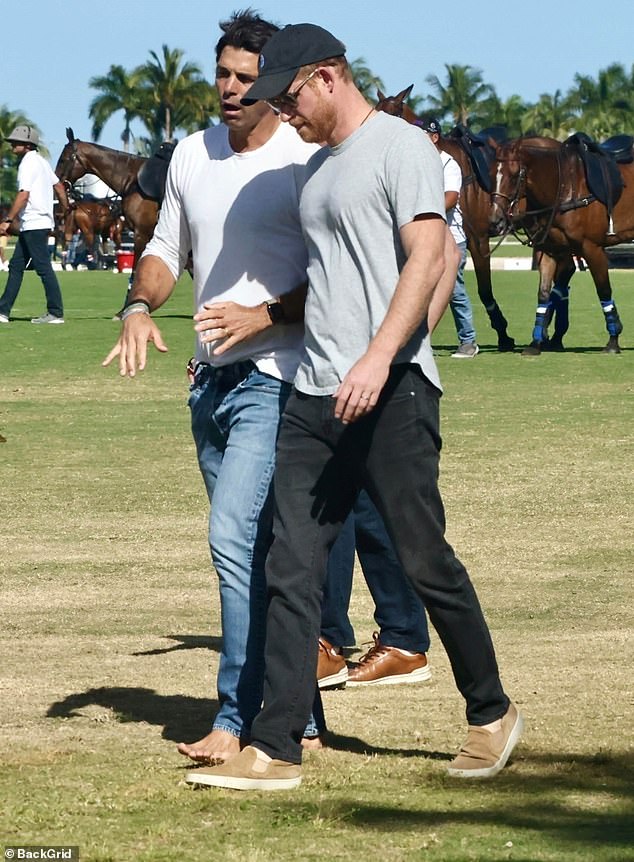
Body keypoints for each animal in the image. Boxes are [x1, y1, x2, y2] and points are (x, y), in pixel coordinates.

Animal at [486, 135, 628, 354]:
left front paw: (613, 340)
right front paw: (536, 342)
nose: (495, 222)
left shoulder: (592, 248)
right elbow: (544, 293)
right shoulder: (550, 249)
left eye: (514, 175)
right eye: (491, 174)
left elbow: (603, 290)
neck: (565, 188)